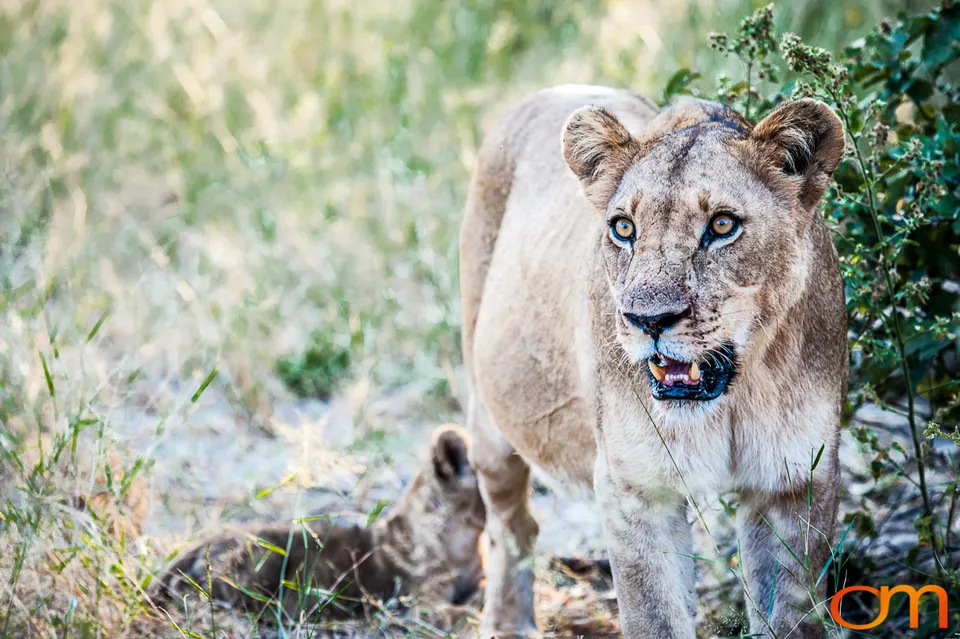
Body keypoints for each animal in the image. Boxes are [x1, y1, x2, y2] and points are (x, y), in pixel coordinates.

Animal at [460, 85, 847, 638]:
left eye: (722, 225)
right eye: (624, 228)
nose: (648, 319)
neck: (737, 394)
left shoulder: (796, 483)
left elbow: (791, 613)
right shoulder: (635, 490)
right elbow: (655, 616)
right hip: (489, 414)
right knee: (509, 522)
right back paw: (506, 623)